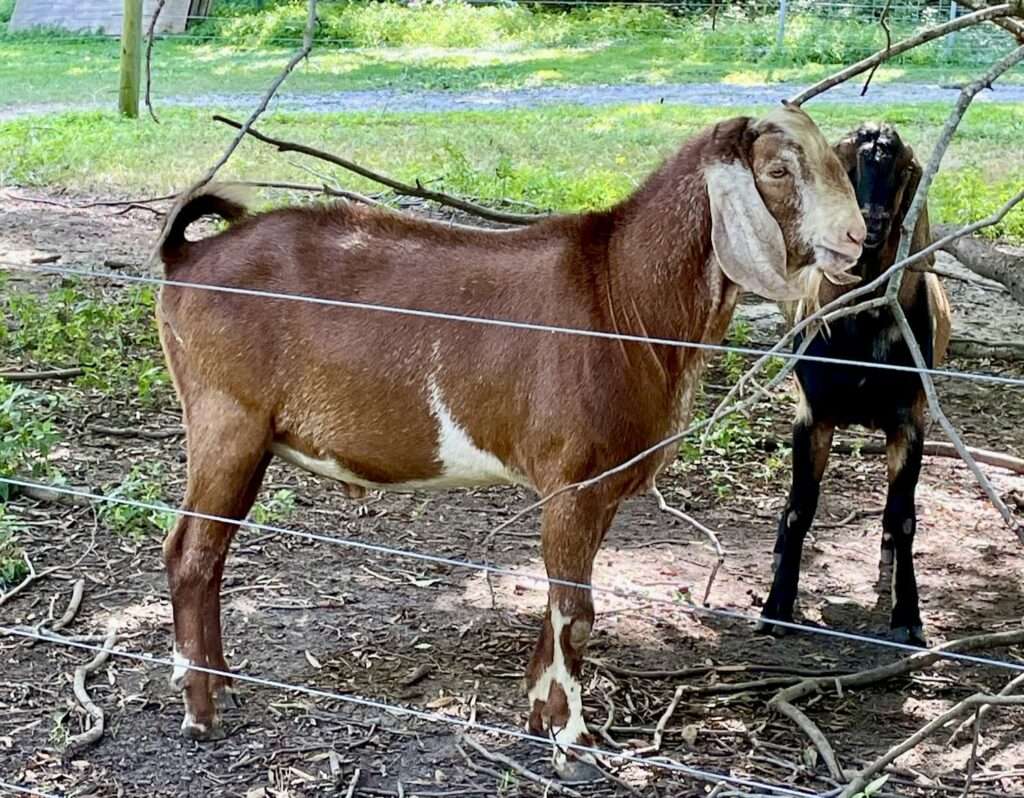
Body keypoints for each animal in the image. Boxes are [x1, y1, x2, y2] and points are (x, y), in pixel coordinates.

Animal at [157, 102, 864, 778]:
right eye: (778, 170)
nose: (856, 235)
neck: (620, 293)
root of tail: (184, 260)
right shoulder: (573, 480)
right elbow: (576, 612)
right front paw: (573, 744)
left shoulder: (602, 487)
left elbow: (558, 603)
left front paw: (537, 715)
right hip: (227, 421)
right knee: (190, 553)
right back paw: (200, 710)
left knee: (209, 553)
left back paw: (222, 684)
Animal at [761, 124, 950, 647]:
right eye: (847, 163)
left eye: (903, 170)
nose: (871, 222)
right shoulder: (813, 415)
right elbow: (800, 508)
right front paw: (777, 606)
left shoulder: (909, 421)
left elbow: (904, 517)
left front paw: (908, 615)